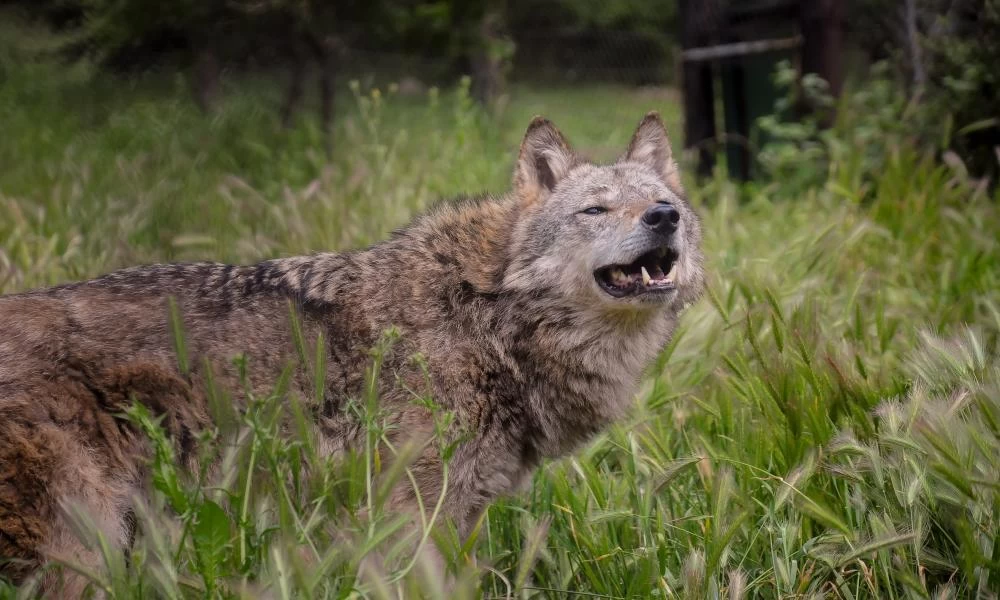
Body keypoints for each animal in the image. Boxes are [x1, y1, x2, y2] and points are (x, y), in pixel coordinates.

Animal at [0, 112, 704, 596]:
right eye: (595, 210)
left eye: (662, 203)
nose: (664, 217)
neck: (488, 314)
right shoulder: (410, 514)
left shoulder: (458, 513)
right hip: (80, 552)